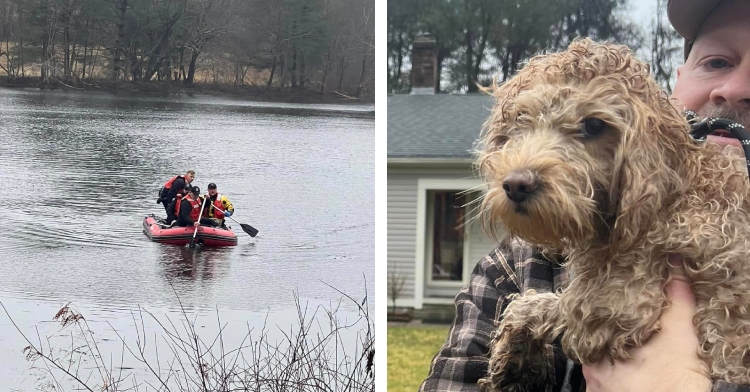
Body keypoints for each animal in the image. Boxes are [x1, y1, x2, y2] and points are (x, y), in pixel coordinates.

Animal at [478, 39, 750, 392]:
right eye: (521, 119)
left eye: (594, 125)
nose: (516, 184)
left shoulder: (613, 312)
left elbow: (537, 304)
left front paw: (515, 357)